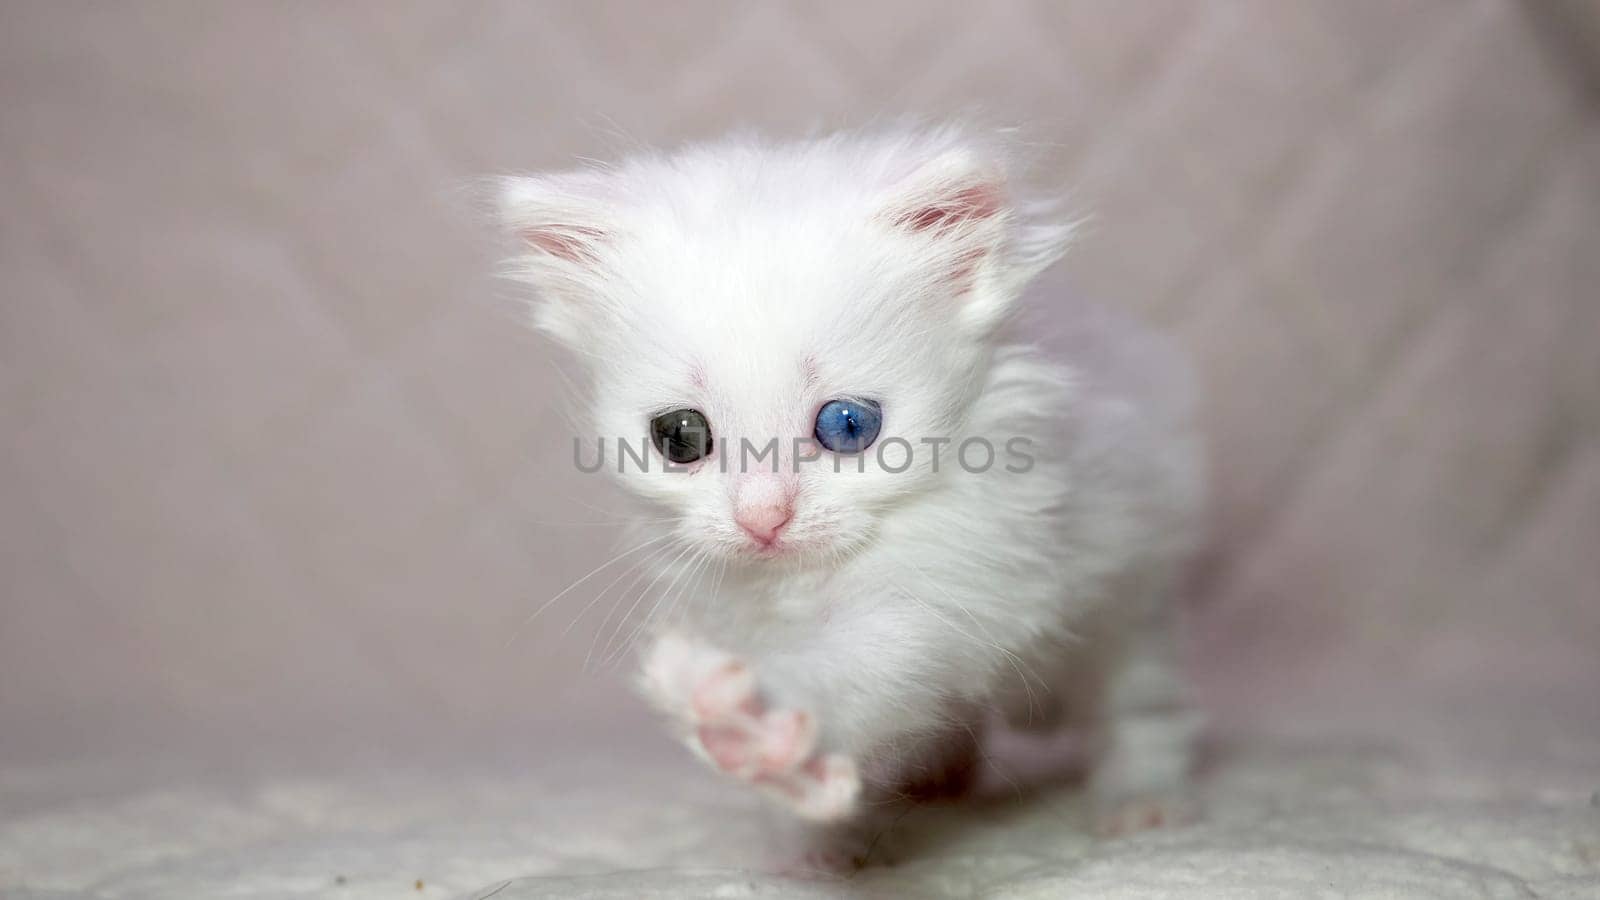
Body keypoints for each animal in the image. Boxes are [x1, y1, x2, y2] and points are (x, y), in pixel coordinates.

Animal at [499, 122, 1203, 839]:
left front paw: (759, 728)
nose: (763, 517)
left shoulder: (974, 577)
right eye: (680, 437)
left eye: (847, 424)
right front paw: (813, 828)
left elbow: (867, 665)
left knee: (1141, 702)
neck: (804, 583)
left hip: (1134, 591)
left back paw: (1140, 800)